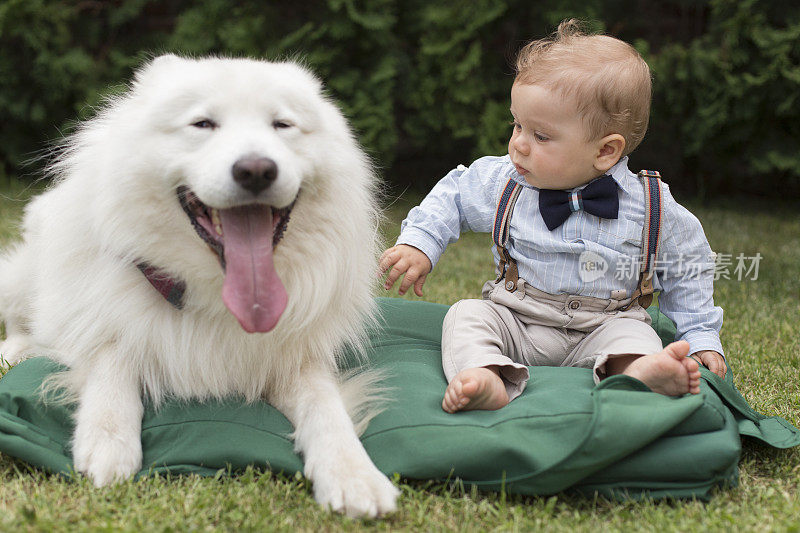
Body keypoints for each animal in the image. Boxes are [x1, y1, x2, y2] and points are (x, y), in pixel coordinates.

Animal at [0, 56, 398, 516]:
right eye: (203, 124)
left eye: (282, 125)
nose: (256, 170)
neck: (216, 296)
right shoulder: (105, 325)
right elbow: (111, 366)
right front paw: (107, 444)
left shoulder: (296, 360)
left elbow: (327, 411)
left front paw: (354, 475)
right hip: (33, 272)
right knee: (22, 316)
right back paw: (15, 349)